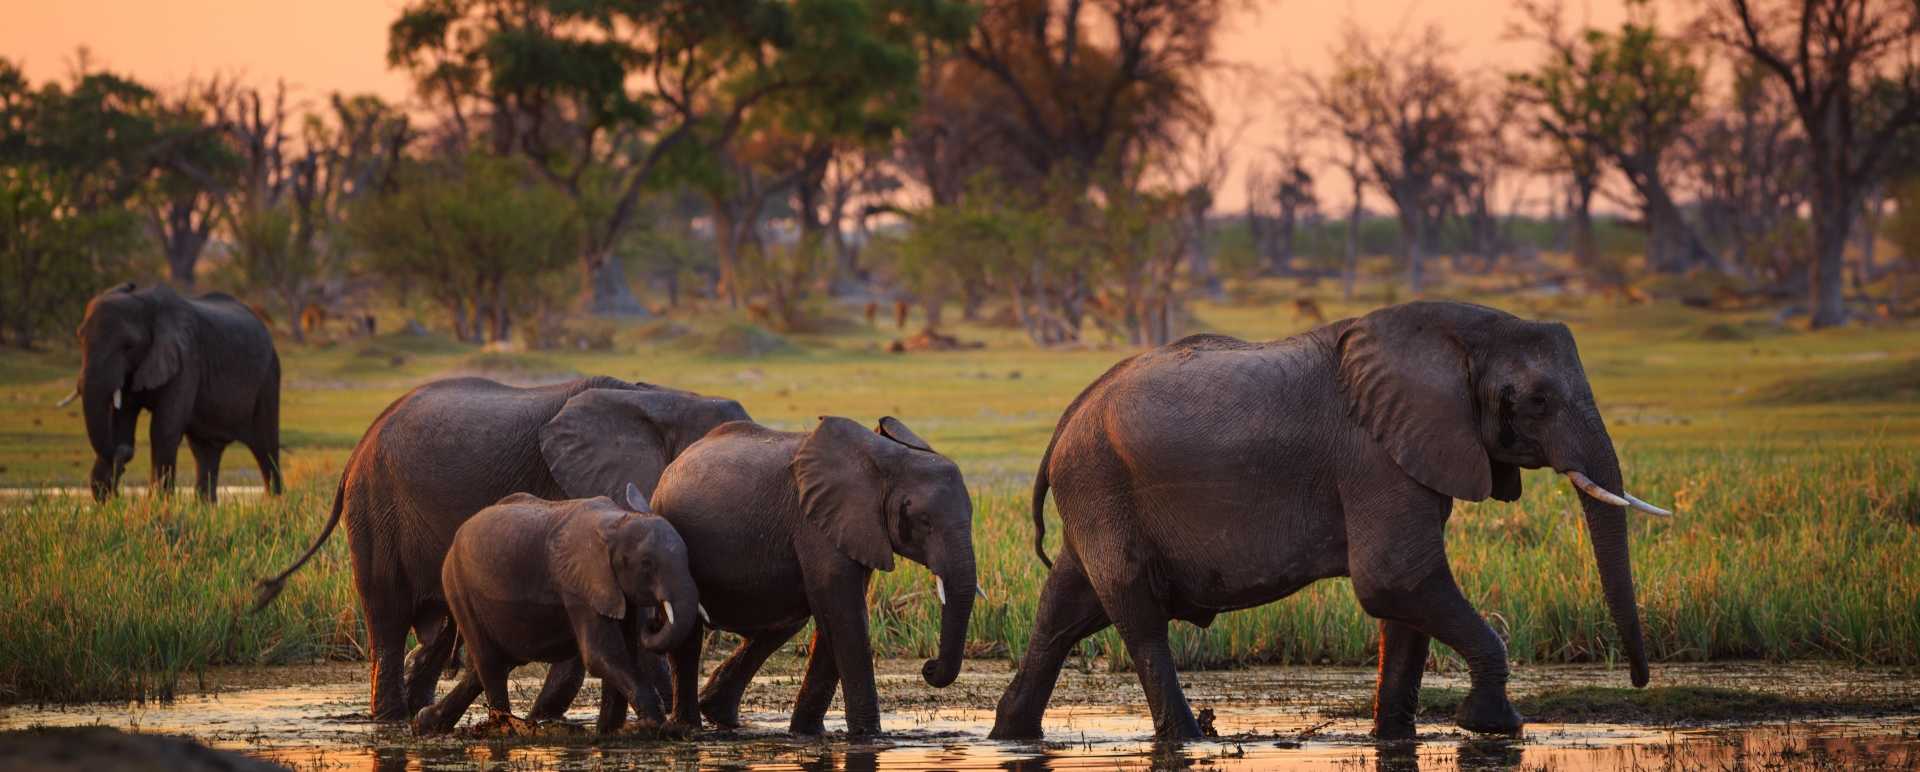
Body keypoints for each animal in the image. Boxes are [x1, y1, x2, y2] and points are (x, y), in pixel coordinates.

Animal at [68, 283, 282, 502]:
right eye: (80, 339)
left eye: (128, 346)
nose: (125, 454)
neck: (146, 301)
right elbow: (120, 424)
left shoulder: (185, 360)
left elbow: (164, 430)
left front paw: (157, 503)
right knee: (205, 450)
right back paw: (206, 507)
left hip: (268, 378)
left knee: (265, 448)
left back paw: (273, 503)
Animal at [410, 484, 699, 735]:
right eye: (647, 563)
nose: (655, 621)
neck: (618, 521)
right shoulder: (578, 585)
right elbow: (601, 654)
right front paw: (653, 725)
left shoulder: (613, 589)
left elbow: (624, 652)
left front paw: (610, 732)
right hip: (458, 587)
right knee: (490, 663)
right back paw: (503, 729)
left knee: (491, 665)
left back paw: (425, 723)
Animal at [646, 416, 977, 737]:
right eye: (924, 521)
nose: (928, 667)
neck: (886, 460)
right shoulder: (815, 524)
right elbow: (845, 615)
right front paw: (870, 737)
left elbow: (836, 616)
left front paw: (808, 733)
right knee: (688, 632)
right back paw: (687, 728)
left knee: (783, 623)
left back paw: (718, 715)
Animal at [988, 301, 1671, 742]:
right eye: (1536, 400)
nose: (1640, 682)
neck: (1457, 337)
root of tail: (1068, 416)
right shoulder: (1373, 454)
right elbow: (1395, 579)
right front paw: (1493, 727)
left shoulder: (1414, 450)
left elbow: (1404, 601)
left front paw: (1394, 736)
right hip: (1100, 483)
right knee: (1137, 615)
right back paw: (1190, 739)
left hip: (1095, 492)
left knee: (1064, 609)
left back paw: (1010, 735)